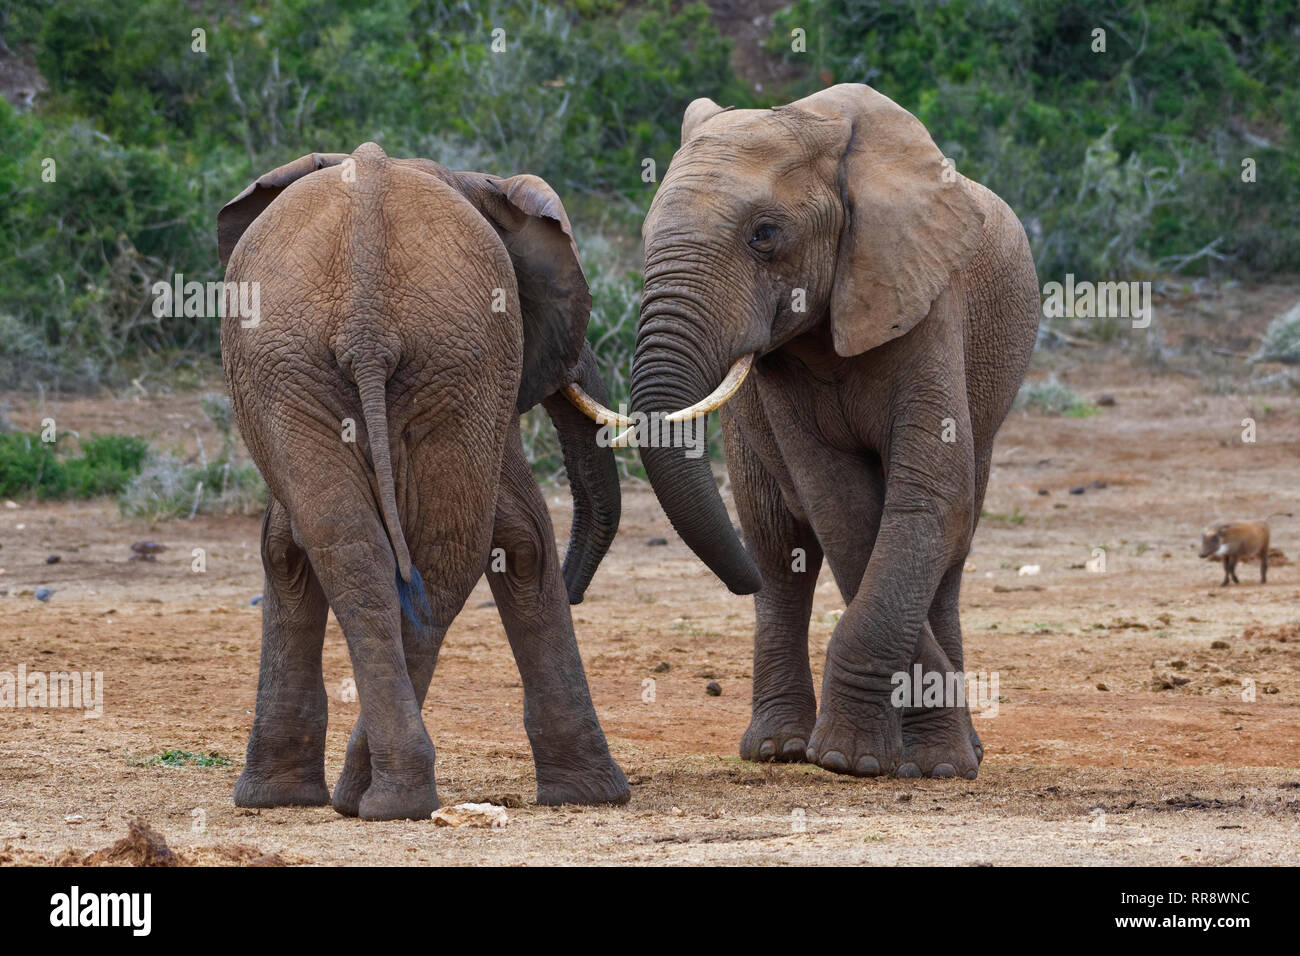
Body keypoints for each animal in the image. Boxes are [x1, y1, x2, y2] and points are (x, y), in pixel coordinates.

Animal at [217, 141, 629, 822]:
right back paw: (382, 796)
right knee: (435, 551)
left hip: (344, 361)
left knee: (364, 549)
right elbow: (523, 535)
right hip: (366, 357)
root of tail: (364, 318)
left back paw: (376, 797)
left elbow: (287, 544)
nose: (577, 591)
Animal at [605, 85, 1034, 780]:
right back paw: (778, 749)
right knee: (780, 552)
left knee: (952, 540)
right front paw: (863, 759)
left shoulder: (925, 301)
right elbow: (843, 510)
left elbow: (925, 505)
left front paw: (904, 763)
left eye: (764, 235)